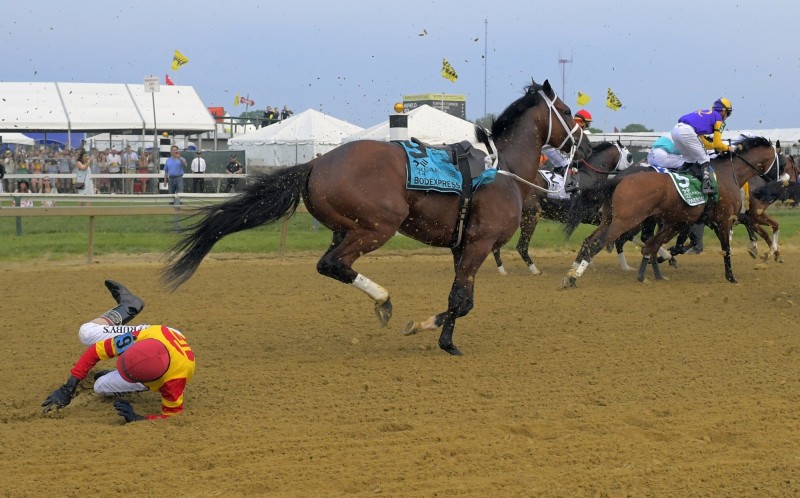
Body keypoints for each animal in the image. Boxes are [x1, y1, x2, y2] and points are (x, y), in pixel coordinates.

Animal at [164, 80, 588, 356]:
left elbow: (462, 299)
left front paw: (442, 336)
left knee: (331, 264)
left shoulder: (462, 245)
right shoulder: (478, 244)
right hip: (378, 226)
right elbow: (460, 300)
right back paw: (383, 300)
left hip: (344, 228)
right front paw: (432, 332)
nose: (584, 145)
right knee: (334, 264)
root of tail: (317, 162)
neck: (503, 171)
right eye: (568, 112)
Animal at [490, 138, 636, 274]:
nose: (633, 173)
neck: (590, 177)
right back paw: (535, 271)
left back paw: (502, 270)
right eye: (630, 156)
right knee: (521, 246)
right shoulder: (588, 214)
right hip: (531, 215)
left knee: (497, 244)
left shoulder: (589, 216)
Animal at [560, 135, 780, 288]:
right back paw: (573, 277)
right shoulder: (722, 218)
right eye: (782, 161)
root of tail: (620, 179)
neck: (727, 174)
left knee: (591, 240)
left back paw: (574, 270)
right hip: (626, 220)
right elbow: (725, 247)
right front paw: (733, 275)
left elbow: (657, 244)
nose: (776, 186)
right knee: (600, 243)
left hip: (611, 218)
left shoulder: (687, 221)